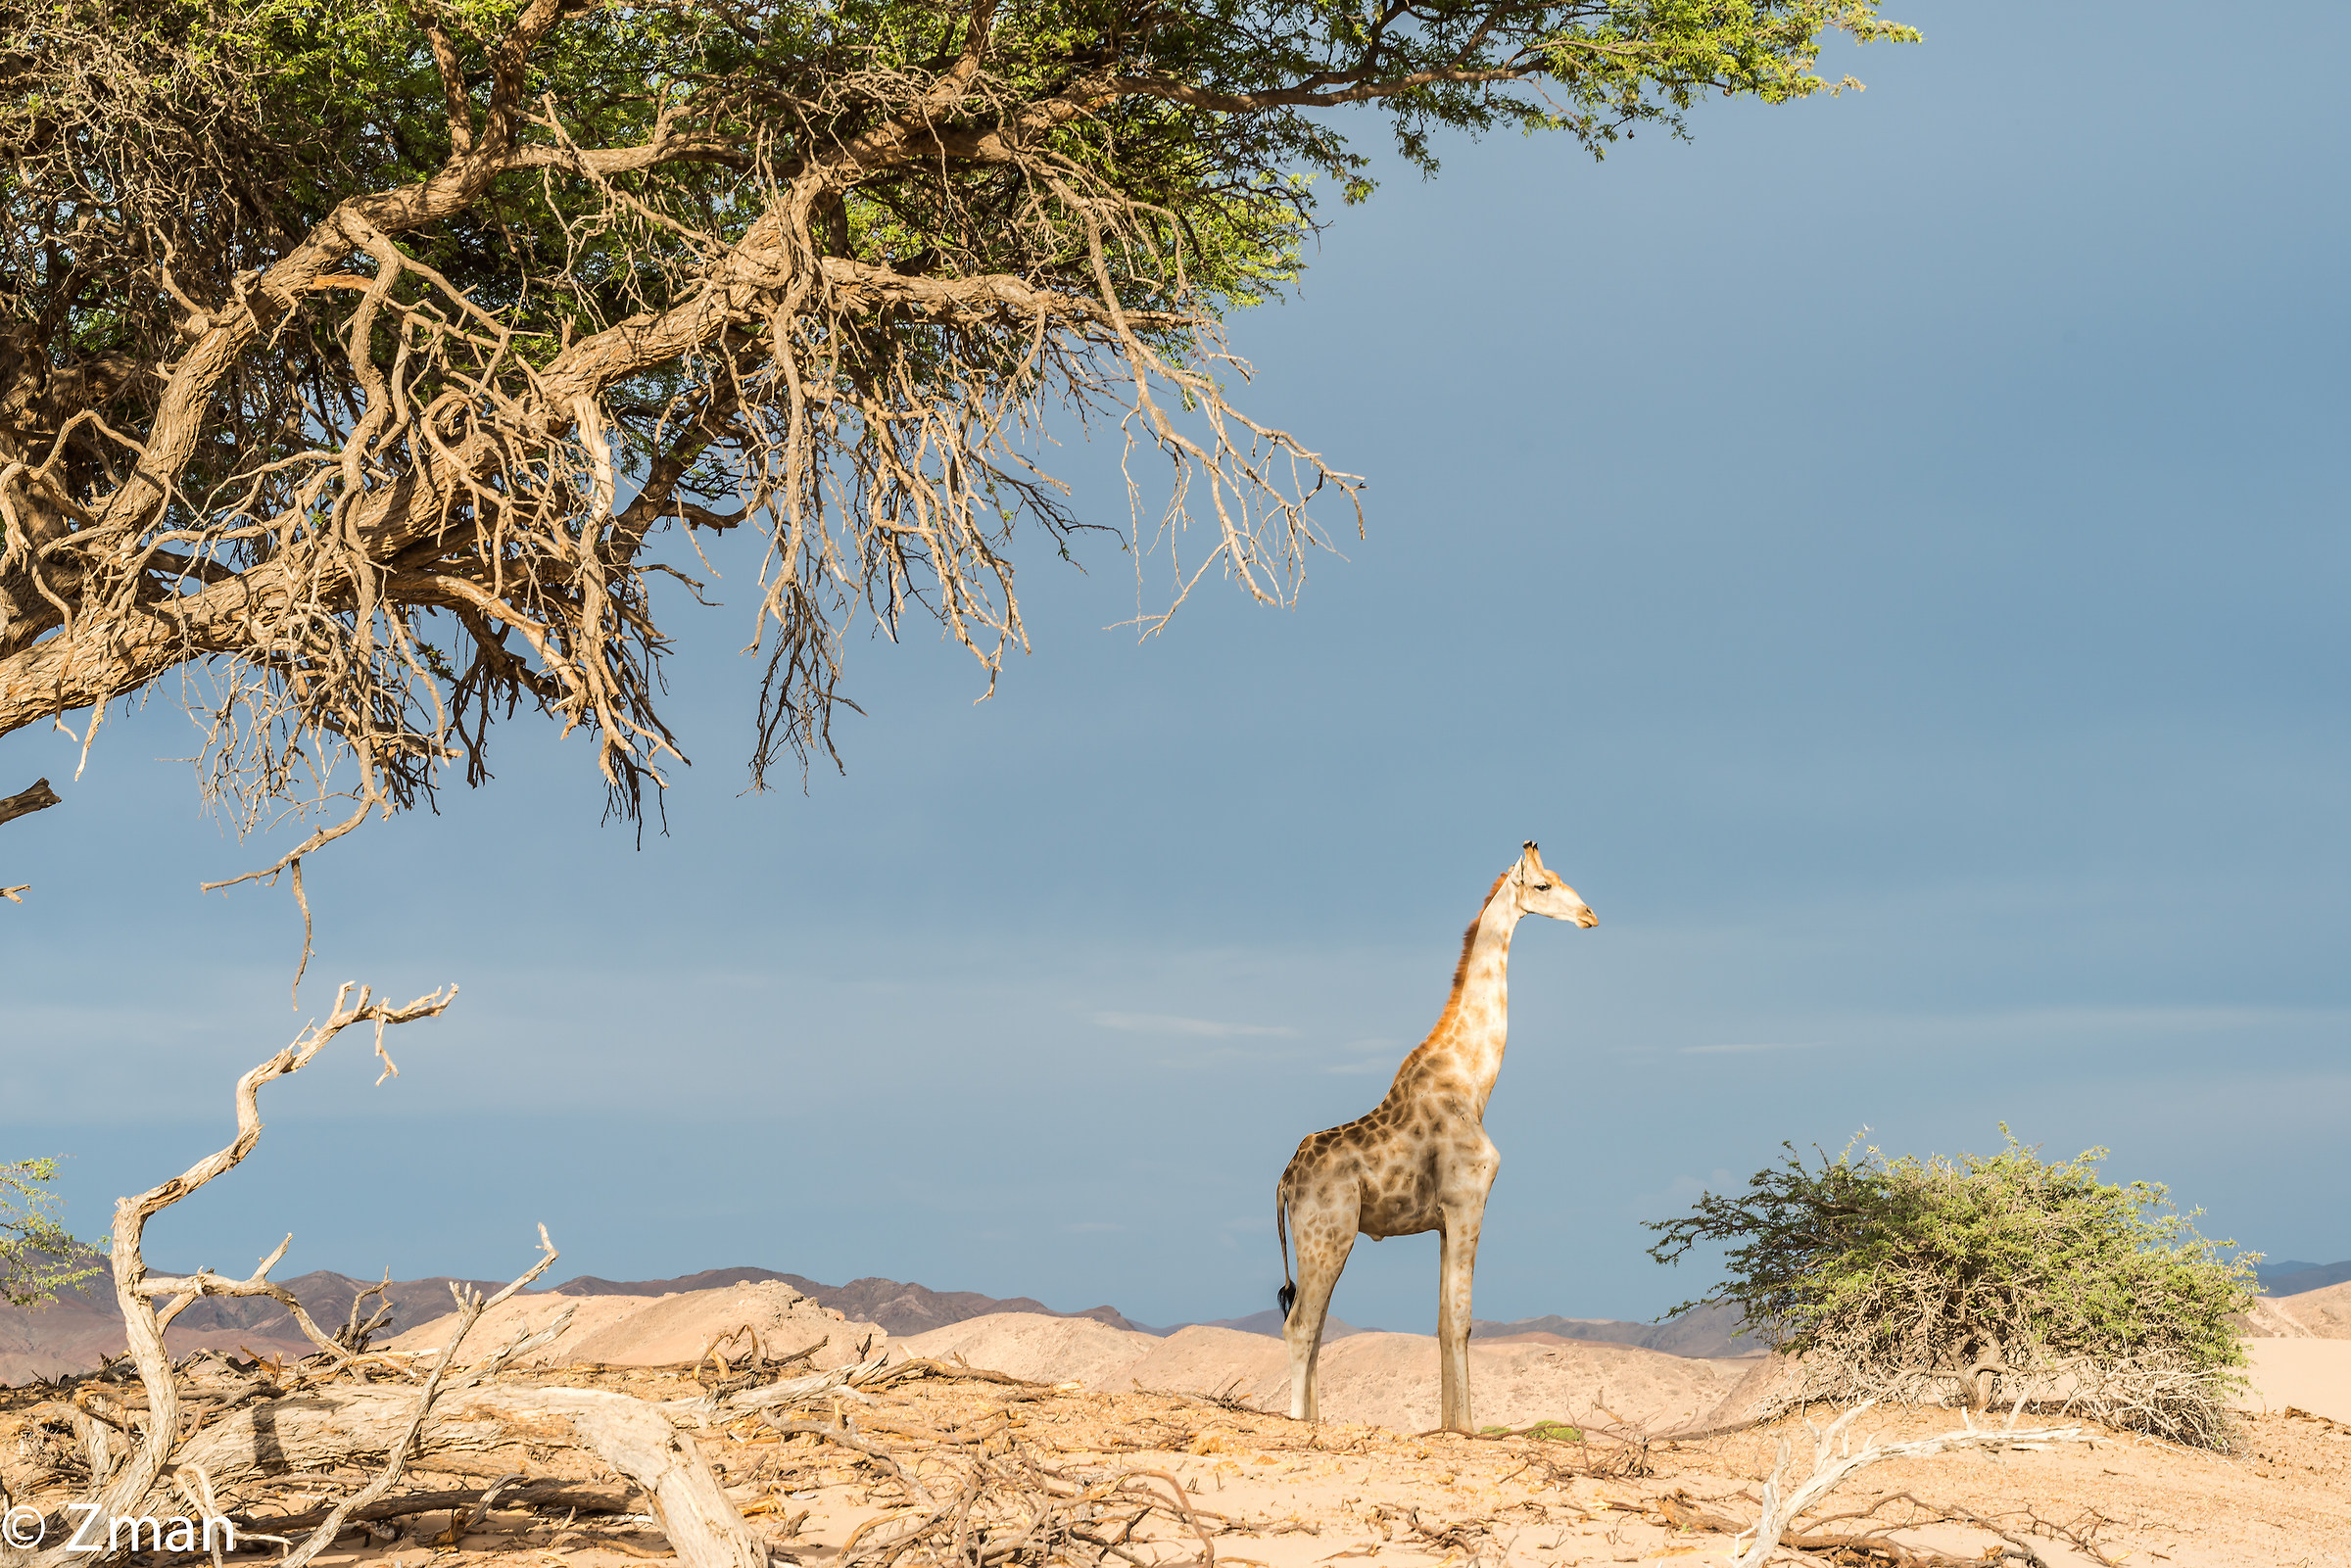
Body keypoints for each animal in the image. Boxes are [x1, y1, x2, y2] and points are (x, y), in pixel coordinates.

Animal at [1274, 841, 1598, 1431]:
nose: (1589, 915)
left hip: (1322, 1243)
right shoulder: (1470, 1200)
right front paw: (1468, 1429)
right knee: (1301, 1326)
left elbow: (1444, 1322)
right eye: (1543, 886)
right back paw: (1298, 1424)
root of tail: (1285, 1179)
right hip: (1327, 1235)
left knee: (1315, 1324)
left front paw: (1451, 1426)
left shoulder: (1444, 1219)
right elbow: (1463, 1320)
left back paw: (1316, 1420)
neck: (1473, 1082)